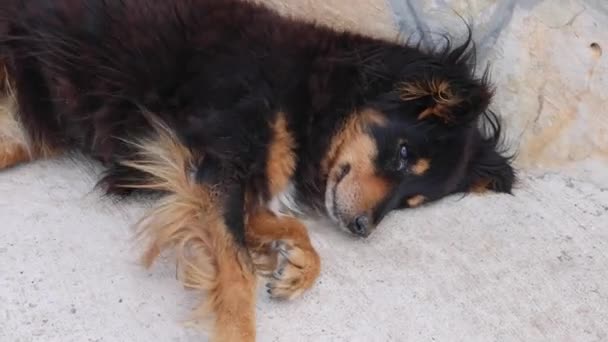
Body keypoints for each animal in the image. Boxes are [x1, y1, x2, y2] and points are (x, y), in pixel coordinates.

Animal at [0, 1, 516, 340]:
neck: (309, 94)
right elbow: (236, 269)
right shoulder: (216, 159)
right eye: (404, 152)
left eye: (410, 202)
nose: (362, 229)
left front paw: (295, 260)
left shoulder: (205, 170)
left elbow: (271, 220)